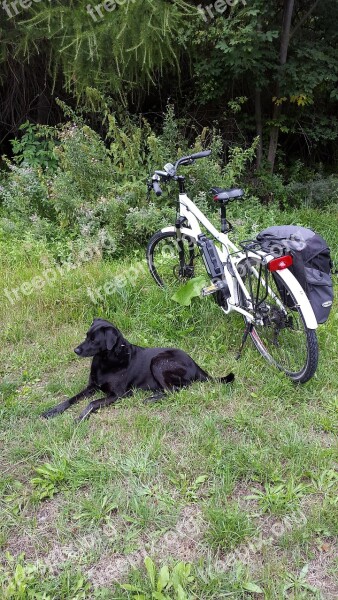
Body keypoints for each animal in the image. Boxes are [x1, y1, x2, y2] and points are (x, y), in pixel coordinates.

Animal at [42, 318, 234, 422]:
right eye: (86, 336)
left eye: (94, 340)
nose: (76, 350)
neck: (106, 360)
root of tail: (195, 364)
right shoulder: (92, 387)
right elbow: (71, 399)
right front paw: (54, 410)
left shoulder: (117, 395)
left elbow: (92, 403)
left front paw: (81, 417)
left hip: (158, 362)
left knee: (175, 390)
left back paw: (151, 398)